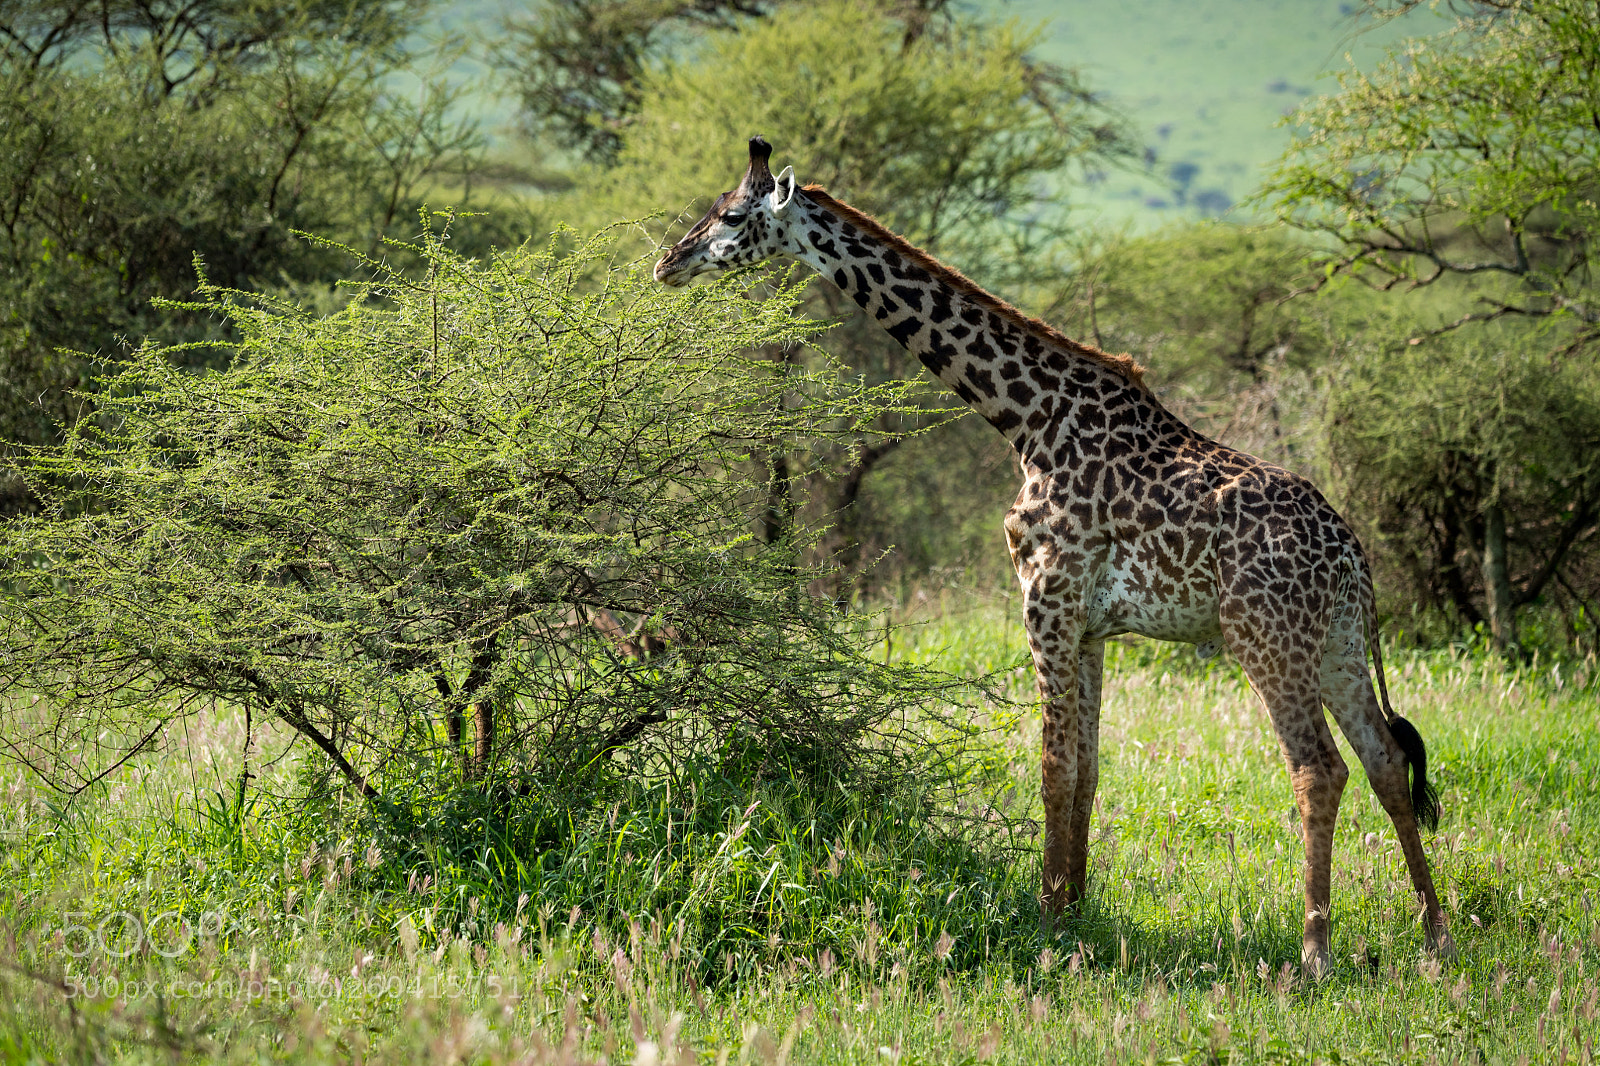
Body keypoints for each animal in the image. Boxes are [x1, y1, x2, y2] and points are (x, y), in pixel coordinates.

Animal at [654, 136, 1453, 971]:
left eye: (732, 215)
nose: (668, 262)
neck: (1027, 418)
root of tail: (1351, 554)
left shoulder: (1045, 599)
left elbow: (1050, 766)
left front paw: (1042, 922)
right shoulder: (1093, 626)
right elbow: (1088, 771)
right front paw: (1075, 910)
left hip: (1265, 638)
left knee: (1318, 768)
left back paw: (1314, 950)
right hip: (1336, 642)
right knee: (1385, 759)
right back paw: (1435, 934)